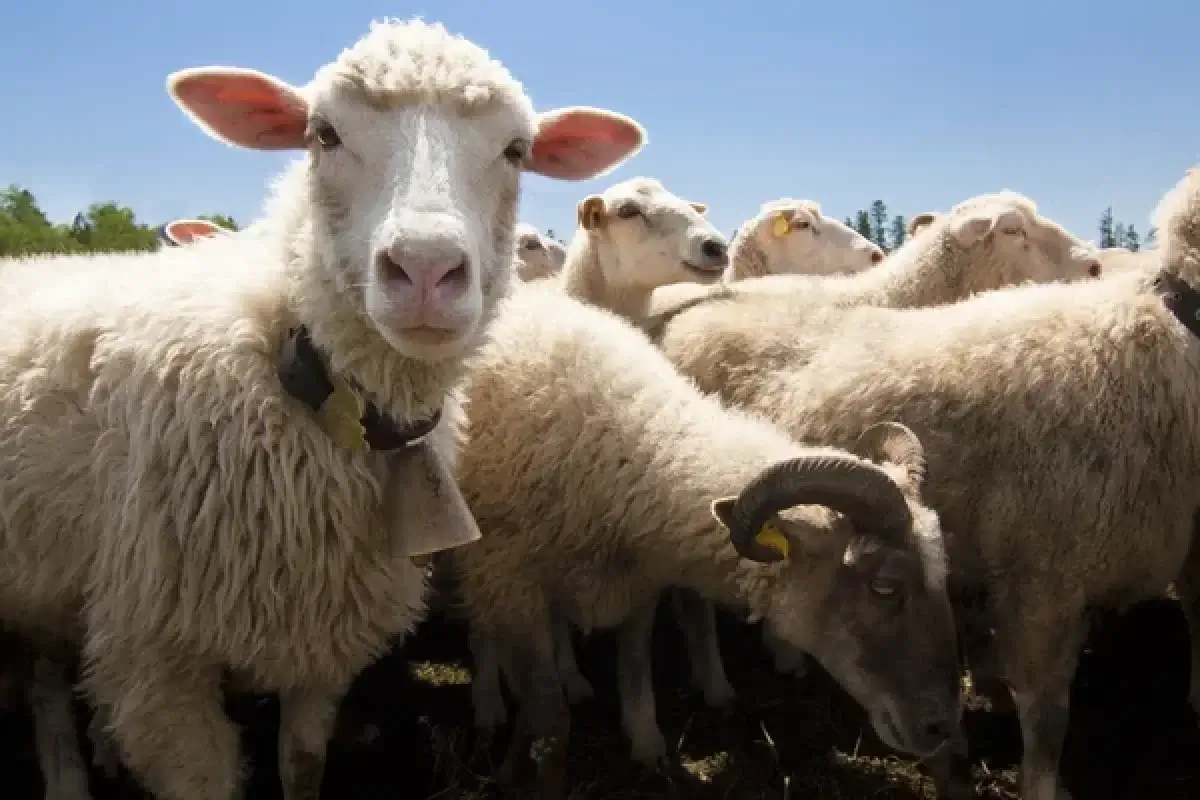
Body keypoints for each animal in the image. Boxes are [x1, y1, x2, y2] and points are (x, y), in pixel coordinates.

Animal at [0, 18, 648, 800]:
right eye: (324, 134)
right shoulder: (155, 662)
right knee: (44, 690)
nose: (426, 269)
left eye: (516, 150)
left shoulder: (322, 635)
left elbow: (302, 765)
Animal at [451, 278, 964, 791]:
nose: (942, 728)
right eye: (885, 587)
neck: (628, 448)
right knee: (482, 631)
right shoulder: (513, 585)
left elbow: (634, 667)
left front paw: (646, 744)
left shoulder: (639, 584)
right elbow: (549, 718)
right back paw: (488, 706)